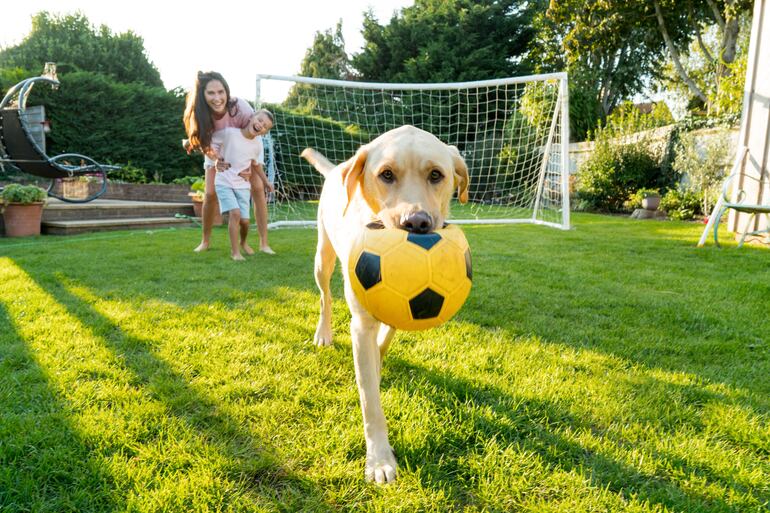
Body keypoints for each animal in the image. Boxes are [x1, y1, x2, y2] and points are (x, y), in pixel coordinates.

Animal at [300, 125, 468, 484]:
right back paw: (323, 332)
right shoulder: (361, 322)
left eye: (436, 175)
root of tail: (336, 170)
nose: (416, 222)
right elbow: (370, 403)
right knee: (325, 297)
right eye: (386, 174)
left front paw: (378, 359)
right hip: (323, 258)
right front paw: (378, 460)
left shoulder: (401, 307)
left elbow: (385, 338)